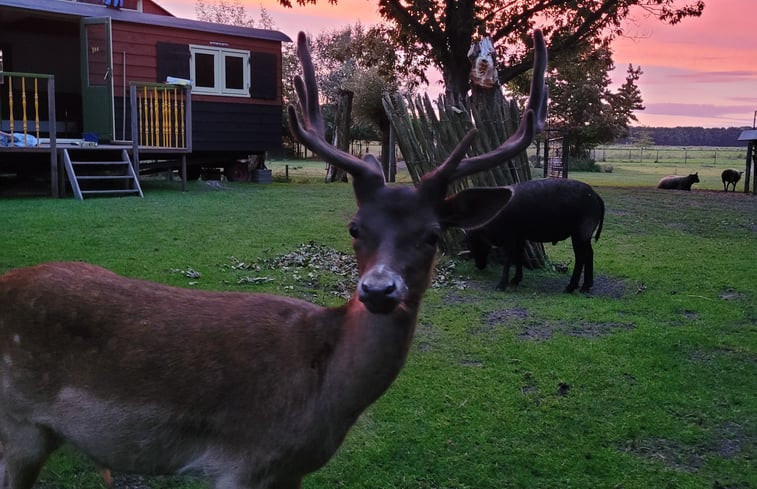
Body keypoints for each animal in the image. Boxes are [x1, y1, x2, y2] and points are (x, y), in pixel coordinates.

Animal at [0, 30, 548, 488]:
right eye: (355, 228)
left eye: (434, 235)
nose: (378, 290)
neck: (319, 402)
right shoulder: (242, 460)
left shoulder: (288, 472)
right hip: (19, 425)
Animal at [458, 179, 604, 294]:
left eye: (476, 243)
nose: (479, 266)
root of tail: (594, 194)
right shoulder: (520, 237)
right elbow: (519, 256)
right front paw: (516, 279)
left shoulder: (509, 238)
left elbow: (508, 260)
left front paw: (502, 284)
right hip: (585, 236)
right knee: (589, 254)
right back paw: (586, 286)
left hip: (579, 234)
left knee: (581, 257)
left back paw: (571, 287)